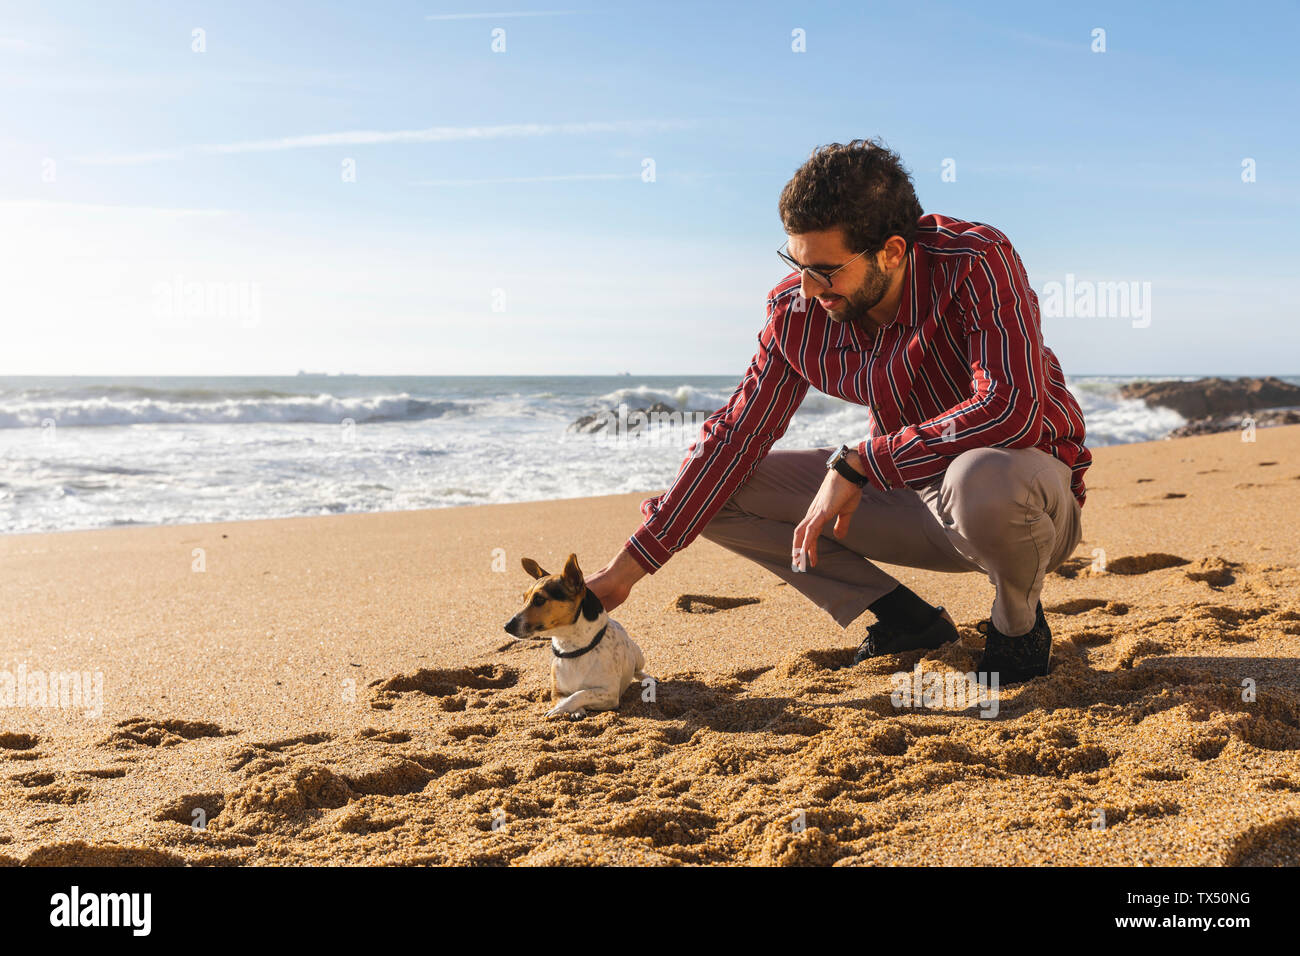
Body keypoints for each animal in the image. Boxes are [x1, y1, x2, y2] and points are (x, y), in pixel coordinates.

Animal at [504, 548, 650, 723]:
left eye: (539, 599)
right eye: (524, 598)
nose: (506, 626)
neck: (572, 650)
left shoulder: (609, 694)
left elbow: (581, 693)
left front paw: (559, 709)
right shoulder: (556, 692)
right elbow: (568, 696)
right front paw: (573, 710)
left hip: (638, 654)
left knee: (638, 670)